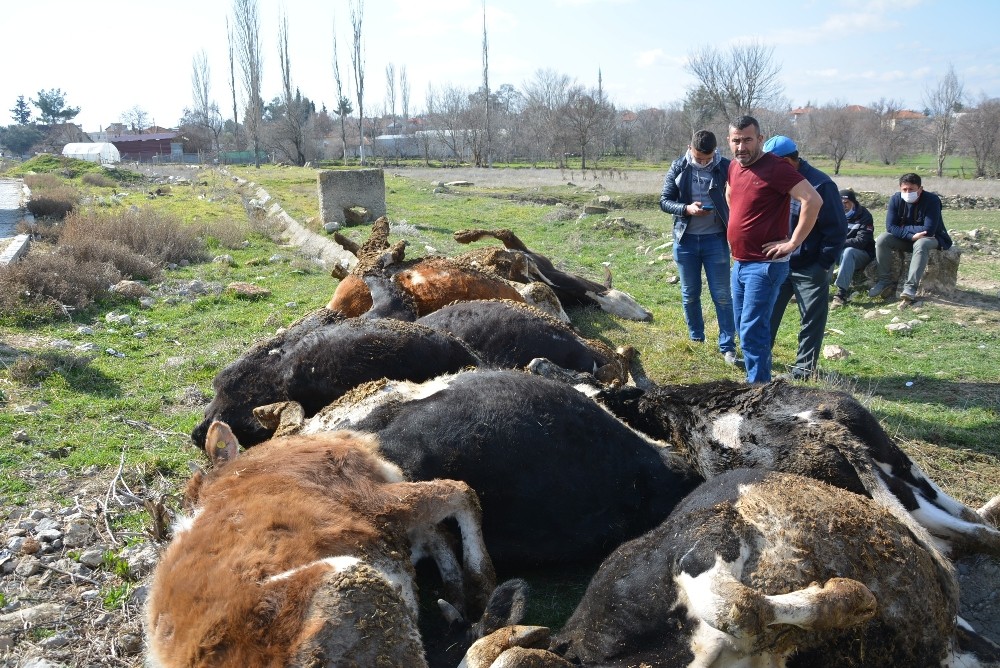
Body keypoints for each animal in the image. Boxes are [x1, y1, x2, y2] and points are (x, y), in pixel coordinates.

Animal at [145, 426, 496, 664]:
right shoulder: (372, 500)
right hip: (350, 584)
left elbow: (437, 534)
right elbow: (463, 494)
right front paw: (480, 583)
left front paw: (456, 588)